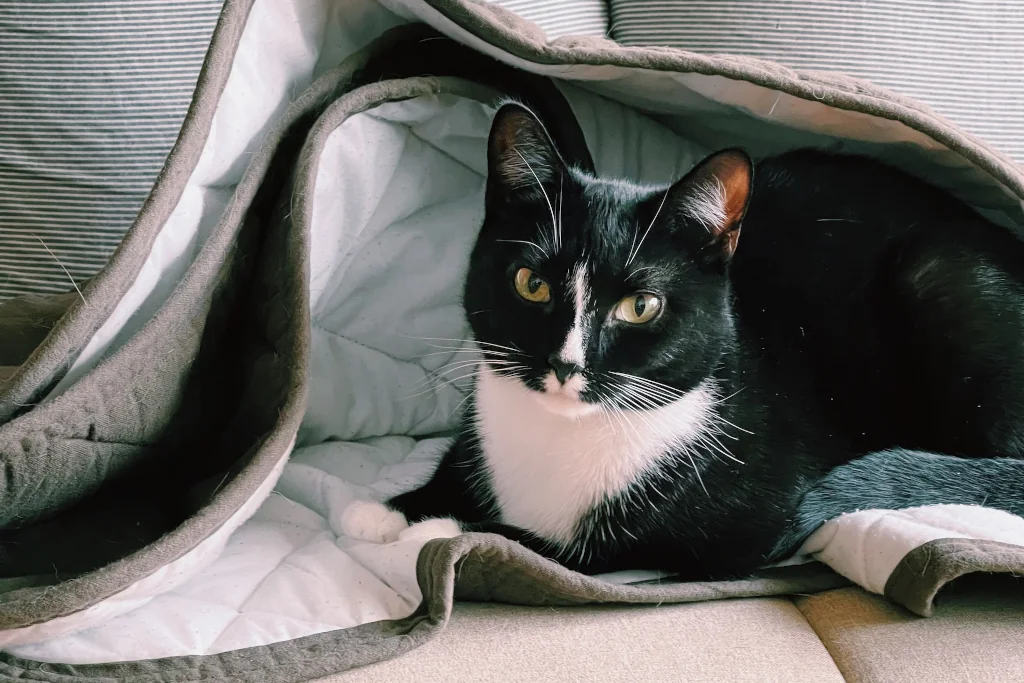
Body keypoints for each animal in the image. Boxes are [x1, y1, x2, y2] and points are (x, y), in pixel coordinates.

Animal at [339, 101, 1024, 581]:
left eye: (641, 306)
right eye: (531, 284)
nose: (565, 364)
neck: (563, 433)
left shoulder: (741, 524)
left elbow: (576, 551)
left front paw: (443, 531)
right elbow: (458, 461)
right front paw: (388, 509)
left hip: (938, 277)